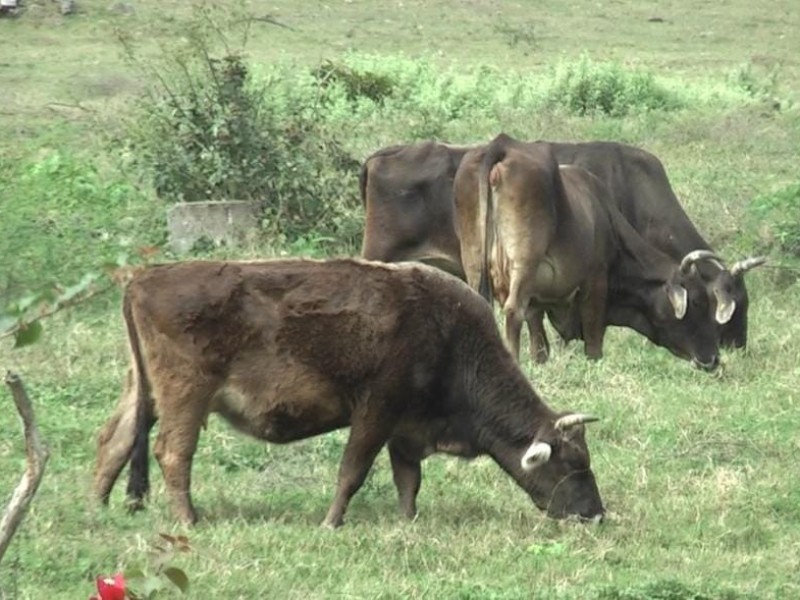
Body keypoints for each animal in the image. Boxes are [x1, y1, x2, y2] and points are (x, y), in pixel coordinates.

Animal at [94, 258, 604, 524]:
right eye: (573, 464)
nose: (596, 514)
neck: (448, 333)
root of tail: (142, 278)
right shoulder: (376, 412)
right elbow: (352, 472)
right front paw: (331, 522)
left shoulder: (405, 428)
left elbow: (408, 480)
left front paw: (407, 521)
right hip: (186, 394)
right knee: (172, 453)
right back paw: (188, 520)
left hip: (143, 392)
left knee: (115, 440)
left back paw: (97, 508)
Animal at [454, 135, 720, 370]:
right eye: (698, 301)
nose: (714, 358)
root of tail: (504, 146)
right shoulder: (595, 281)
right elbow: (593, 341)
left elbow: (539, 342)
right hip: (524, 263)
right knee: (513, 311)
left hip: (476, 262)